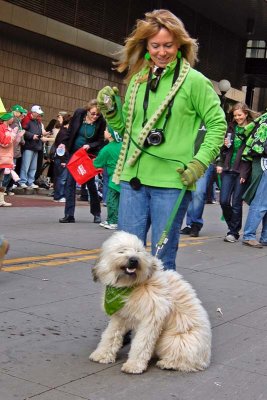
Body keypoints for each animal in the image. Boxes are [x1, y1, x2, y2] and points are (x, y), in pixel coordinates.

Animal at [89, 231, 211, 376]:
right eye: (122, 250)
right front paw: (102, 354)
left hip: (173, 340)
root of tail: (205, 359)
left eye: (138, 251)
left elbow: (142, 343)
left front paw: (134, 365)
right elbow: (110, 335)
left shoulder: (151, 318)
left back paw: (168, 363)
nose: (134, 260)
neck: (132, 286)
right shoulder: (120, 316)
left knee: (184, 361)